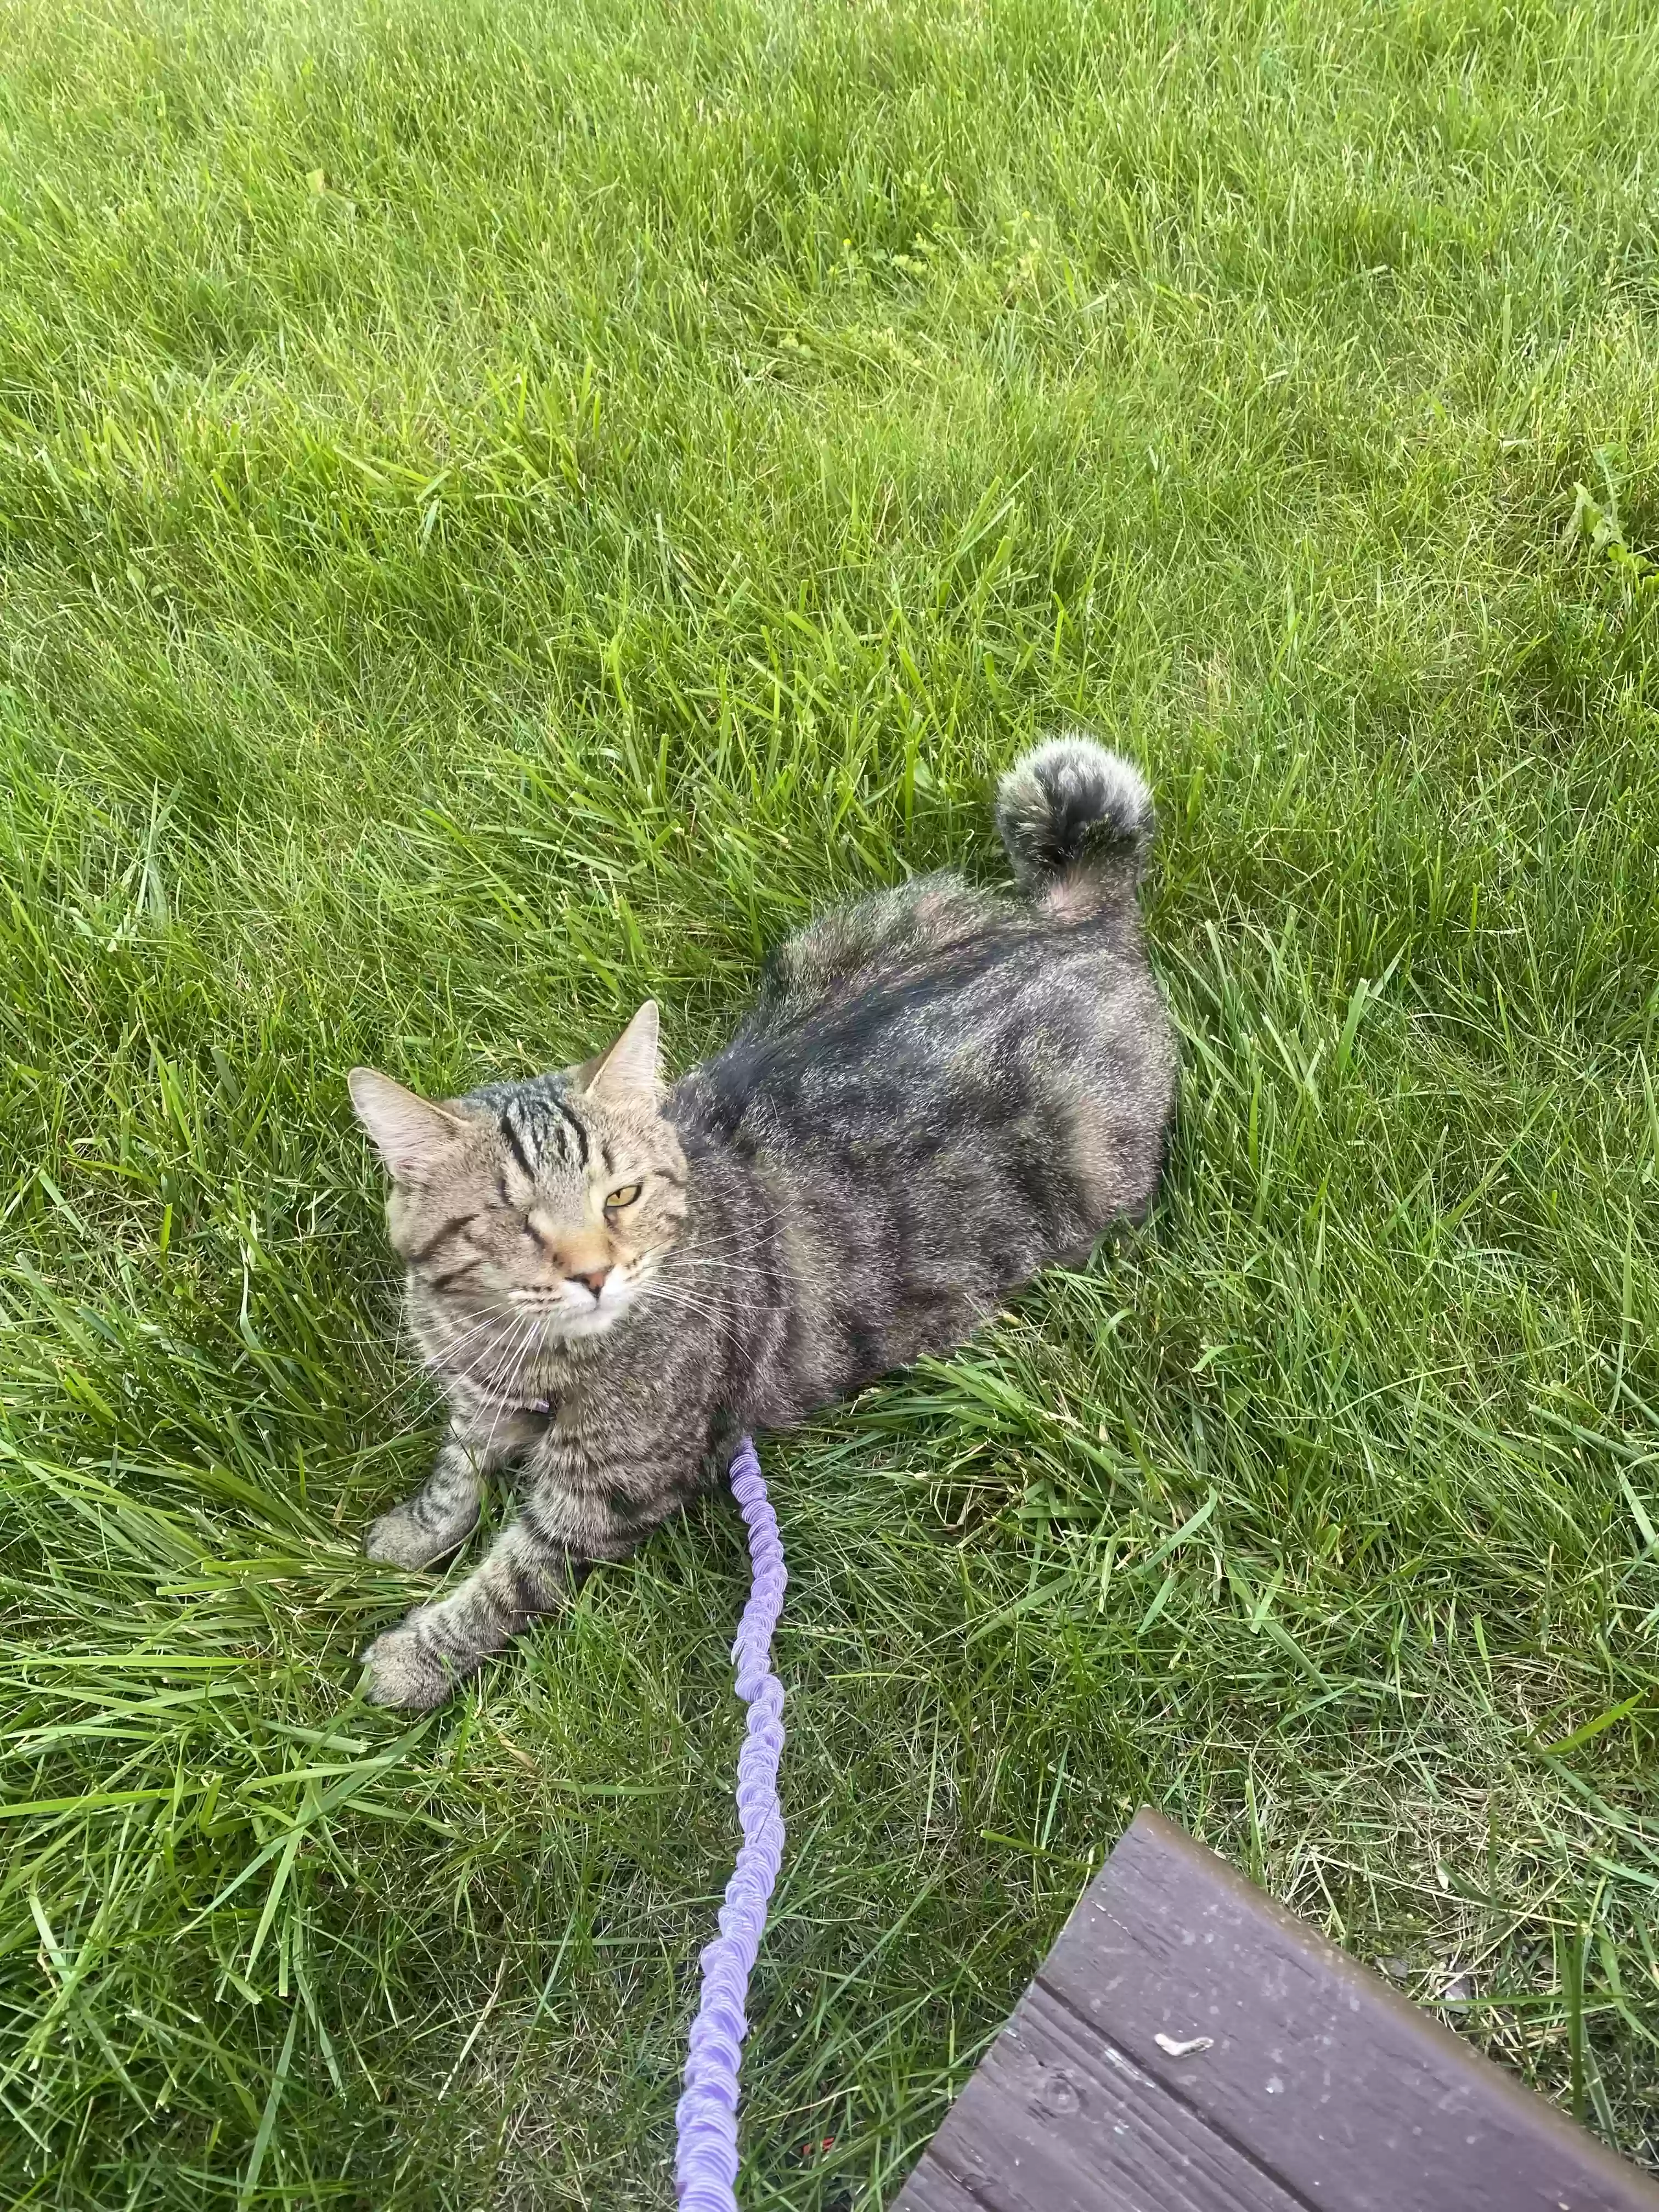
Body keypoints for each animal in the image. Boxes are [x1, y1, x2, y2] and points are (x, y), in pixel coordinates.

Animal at [352, 738, 1186, 1707]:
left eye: (620, 1198)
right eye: (512, 1218)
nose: (592, 1273)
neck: (518, 1356)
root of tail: (1079, 925)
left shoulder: (606, 1493)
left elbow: (510, 1577)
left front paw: (414, 1655)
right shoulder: (479, 1404)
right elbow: (457, 1467)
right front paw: (415, 1531)